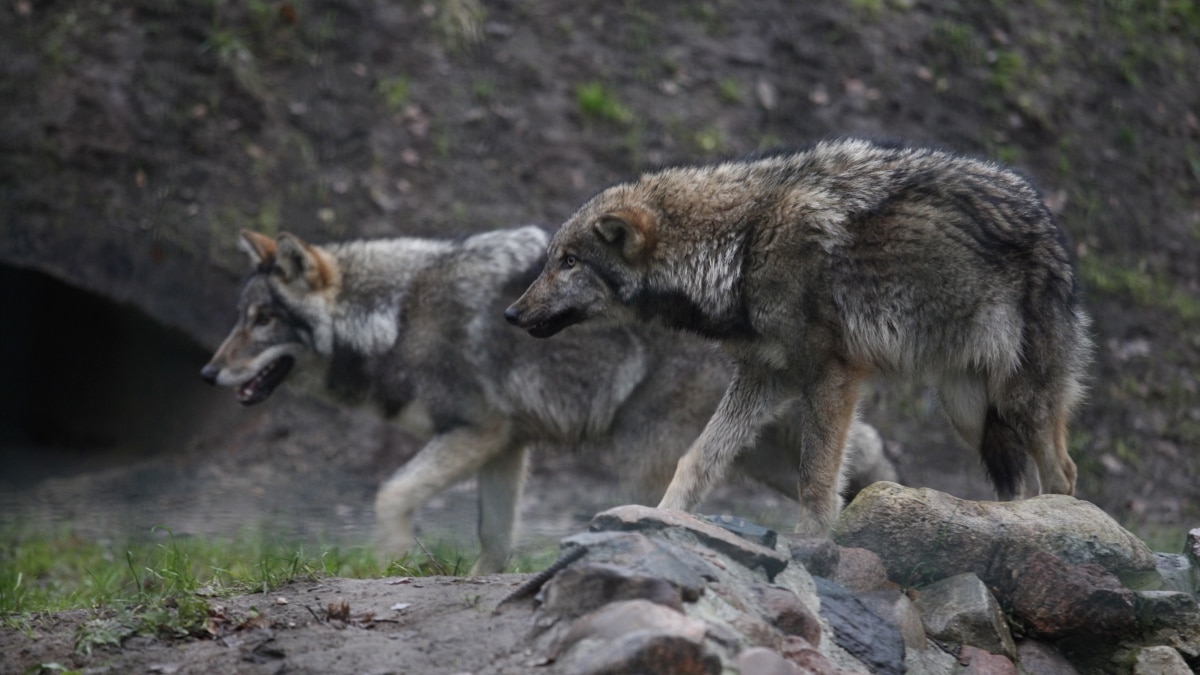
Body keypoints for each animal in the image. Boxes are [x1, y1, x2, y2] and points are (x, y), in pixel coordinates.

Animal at [201, 227, 892, 571]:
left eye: (262, 320)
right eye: (241, 317)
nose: (207, 374)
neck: (394, 315)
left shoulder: (476, 431)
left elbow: (389, 493)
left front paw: (387, 561)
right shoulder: (507, 445)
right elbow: (492, 536)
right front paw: (484, 583)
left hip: (644, 456)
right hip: (758, 451)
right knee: (850, 475)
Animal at [506, 136, 1099, 535]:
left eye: (569, 262)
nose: (511, 313)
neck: (740, 246)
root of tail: (1047, 220)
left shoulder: (831, 378)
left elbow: (814, 479)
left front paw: (814, 546)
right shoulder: (763, 377)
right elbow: (696, 460)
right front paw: (661, 519)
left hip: (1017, 402)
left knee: (1064, 473)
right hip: (970, 413)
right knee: (1020, 480)